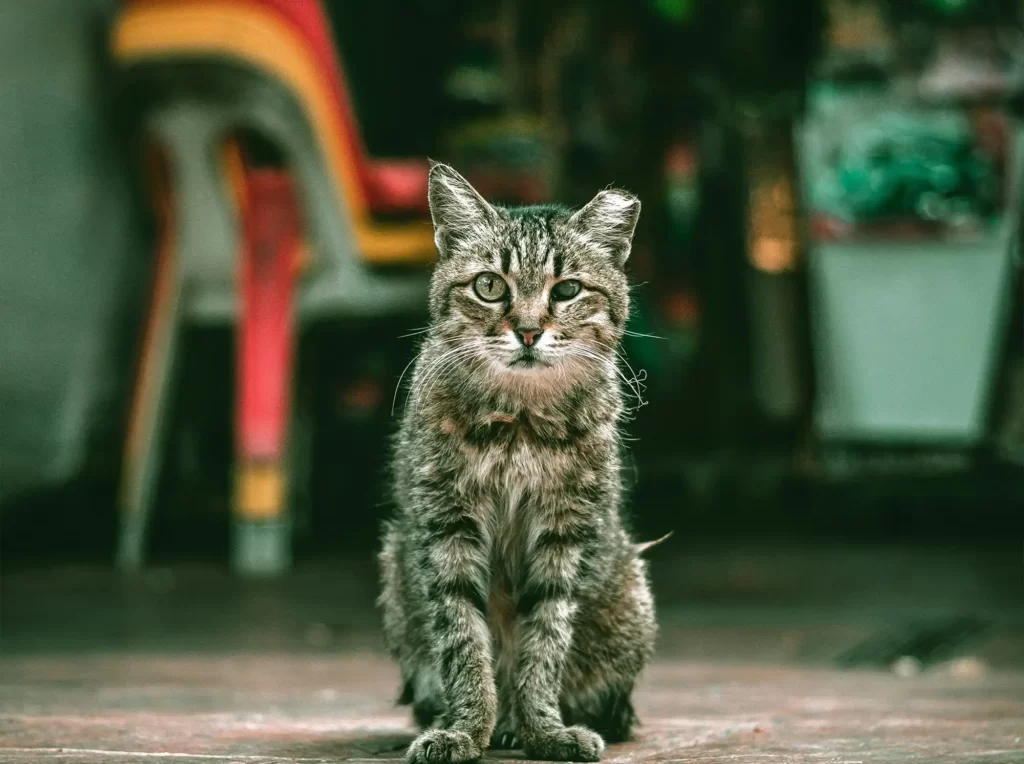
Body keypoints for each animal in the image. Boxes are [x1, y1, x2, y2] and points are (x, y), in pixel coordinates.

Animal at [376, 163, 655, 757]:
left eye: (567, 290)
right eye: (489, 286)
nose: (528, 331)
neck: (520, 420)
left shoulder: (565, 533)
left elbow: (544, 643)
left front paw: (542, 729)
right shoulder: (446, 527)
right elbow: (463, 641)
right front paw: (466, 728)